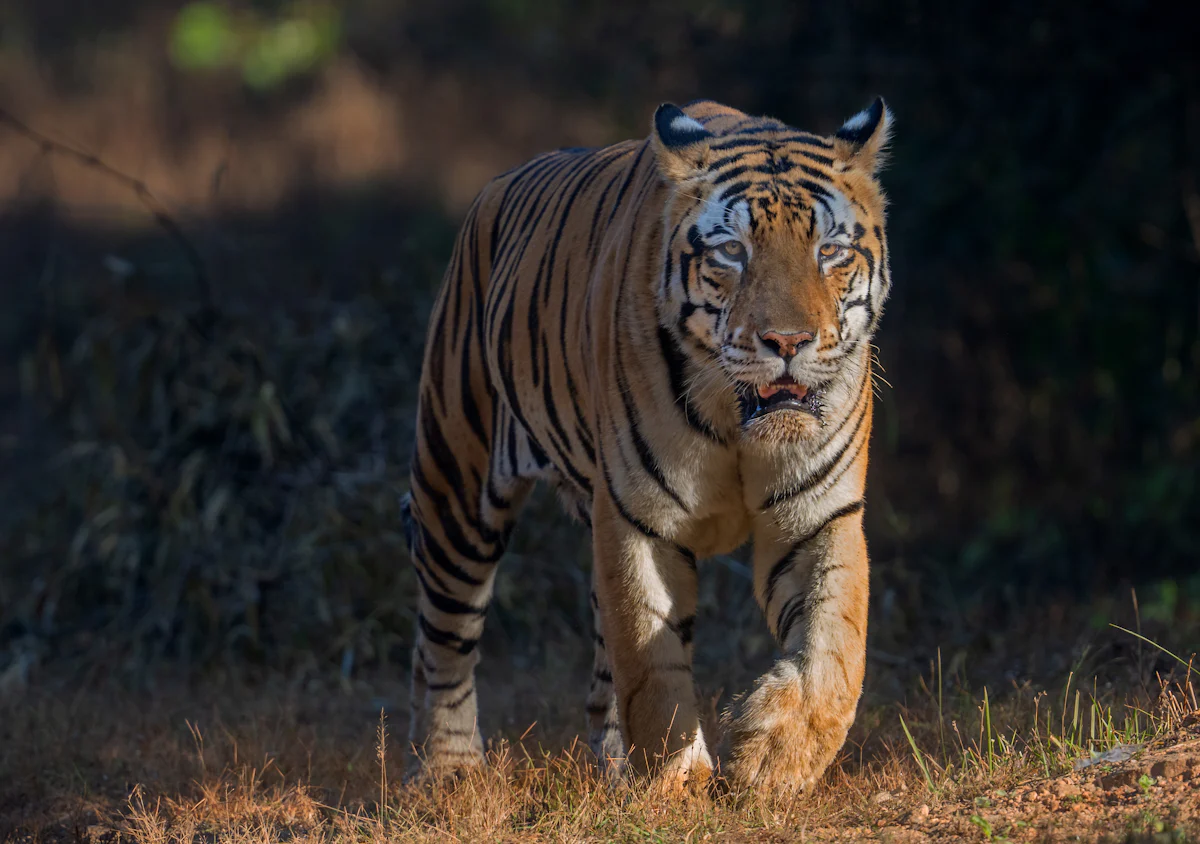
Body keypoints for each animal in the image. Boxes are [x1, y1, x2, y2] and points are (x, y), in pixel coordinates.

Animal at [400, 96, 893, 794]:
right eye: (733, 252)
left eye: (830, 251)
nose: (788, 342)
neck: (736, 421)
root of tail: (494, 188)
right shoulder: (639, 519)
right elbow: (651, 663)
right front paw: (677, 786)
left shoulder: (819, 515)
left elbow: (835, 650)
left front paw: (772, 756)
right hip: (455, 485)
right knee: (441, 642)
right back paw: (449, 773)